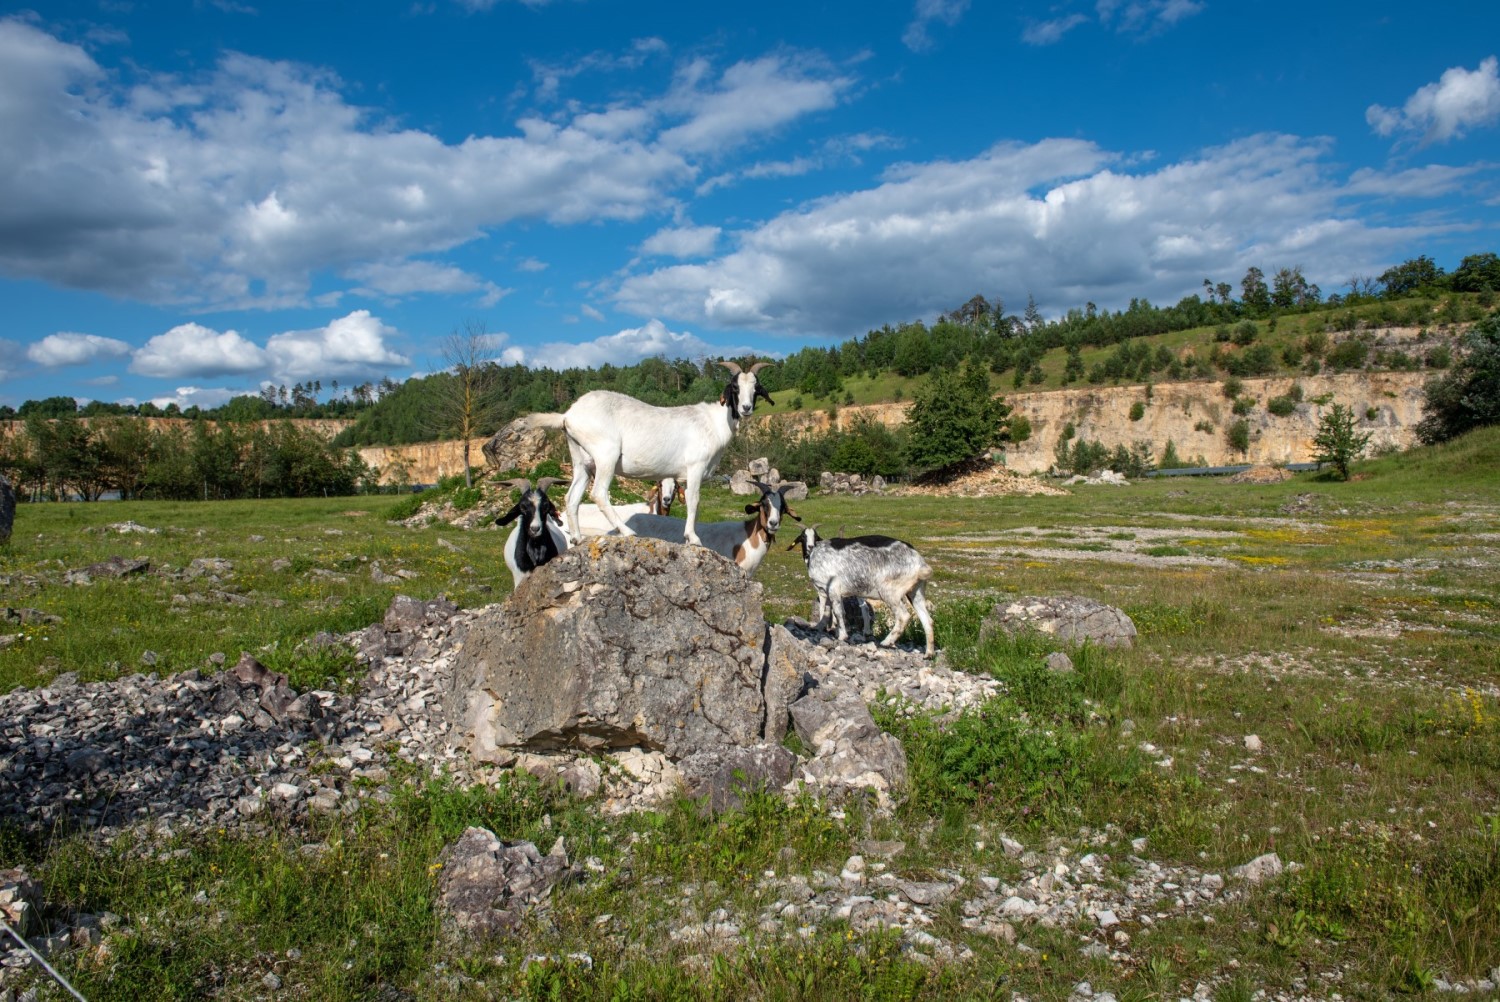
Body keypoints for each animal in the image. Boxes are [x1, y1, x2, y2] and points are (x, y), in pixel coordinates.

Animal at [522, 361, 774, 549]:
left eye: (755, 389)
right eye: (735, 388)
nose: (745, 408)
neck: (714, 422)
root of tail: (568, 415)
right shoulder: (695, 467)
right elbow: (694, 501)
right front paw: (693, 538)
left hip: (582, 460)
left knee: (571, 497)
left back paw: (577, 538)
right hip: (606, 454)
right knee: (599, 493)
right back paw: (627, 531)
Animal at [792, 525, 930, 657]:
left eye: (815, 536)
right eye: (803, 537)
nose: (809, 546)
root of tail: (920, 563)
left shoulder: (833, 588)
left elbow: (838, 612)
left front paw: (842, 636)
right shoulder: (827, 592)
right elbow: (828, 611)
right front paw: (823, 628)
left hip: (890, 593)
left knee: (904, 616)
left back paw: (886, 641)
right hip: (916, 592)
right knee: (927, 620)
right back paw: (929, 653)